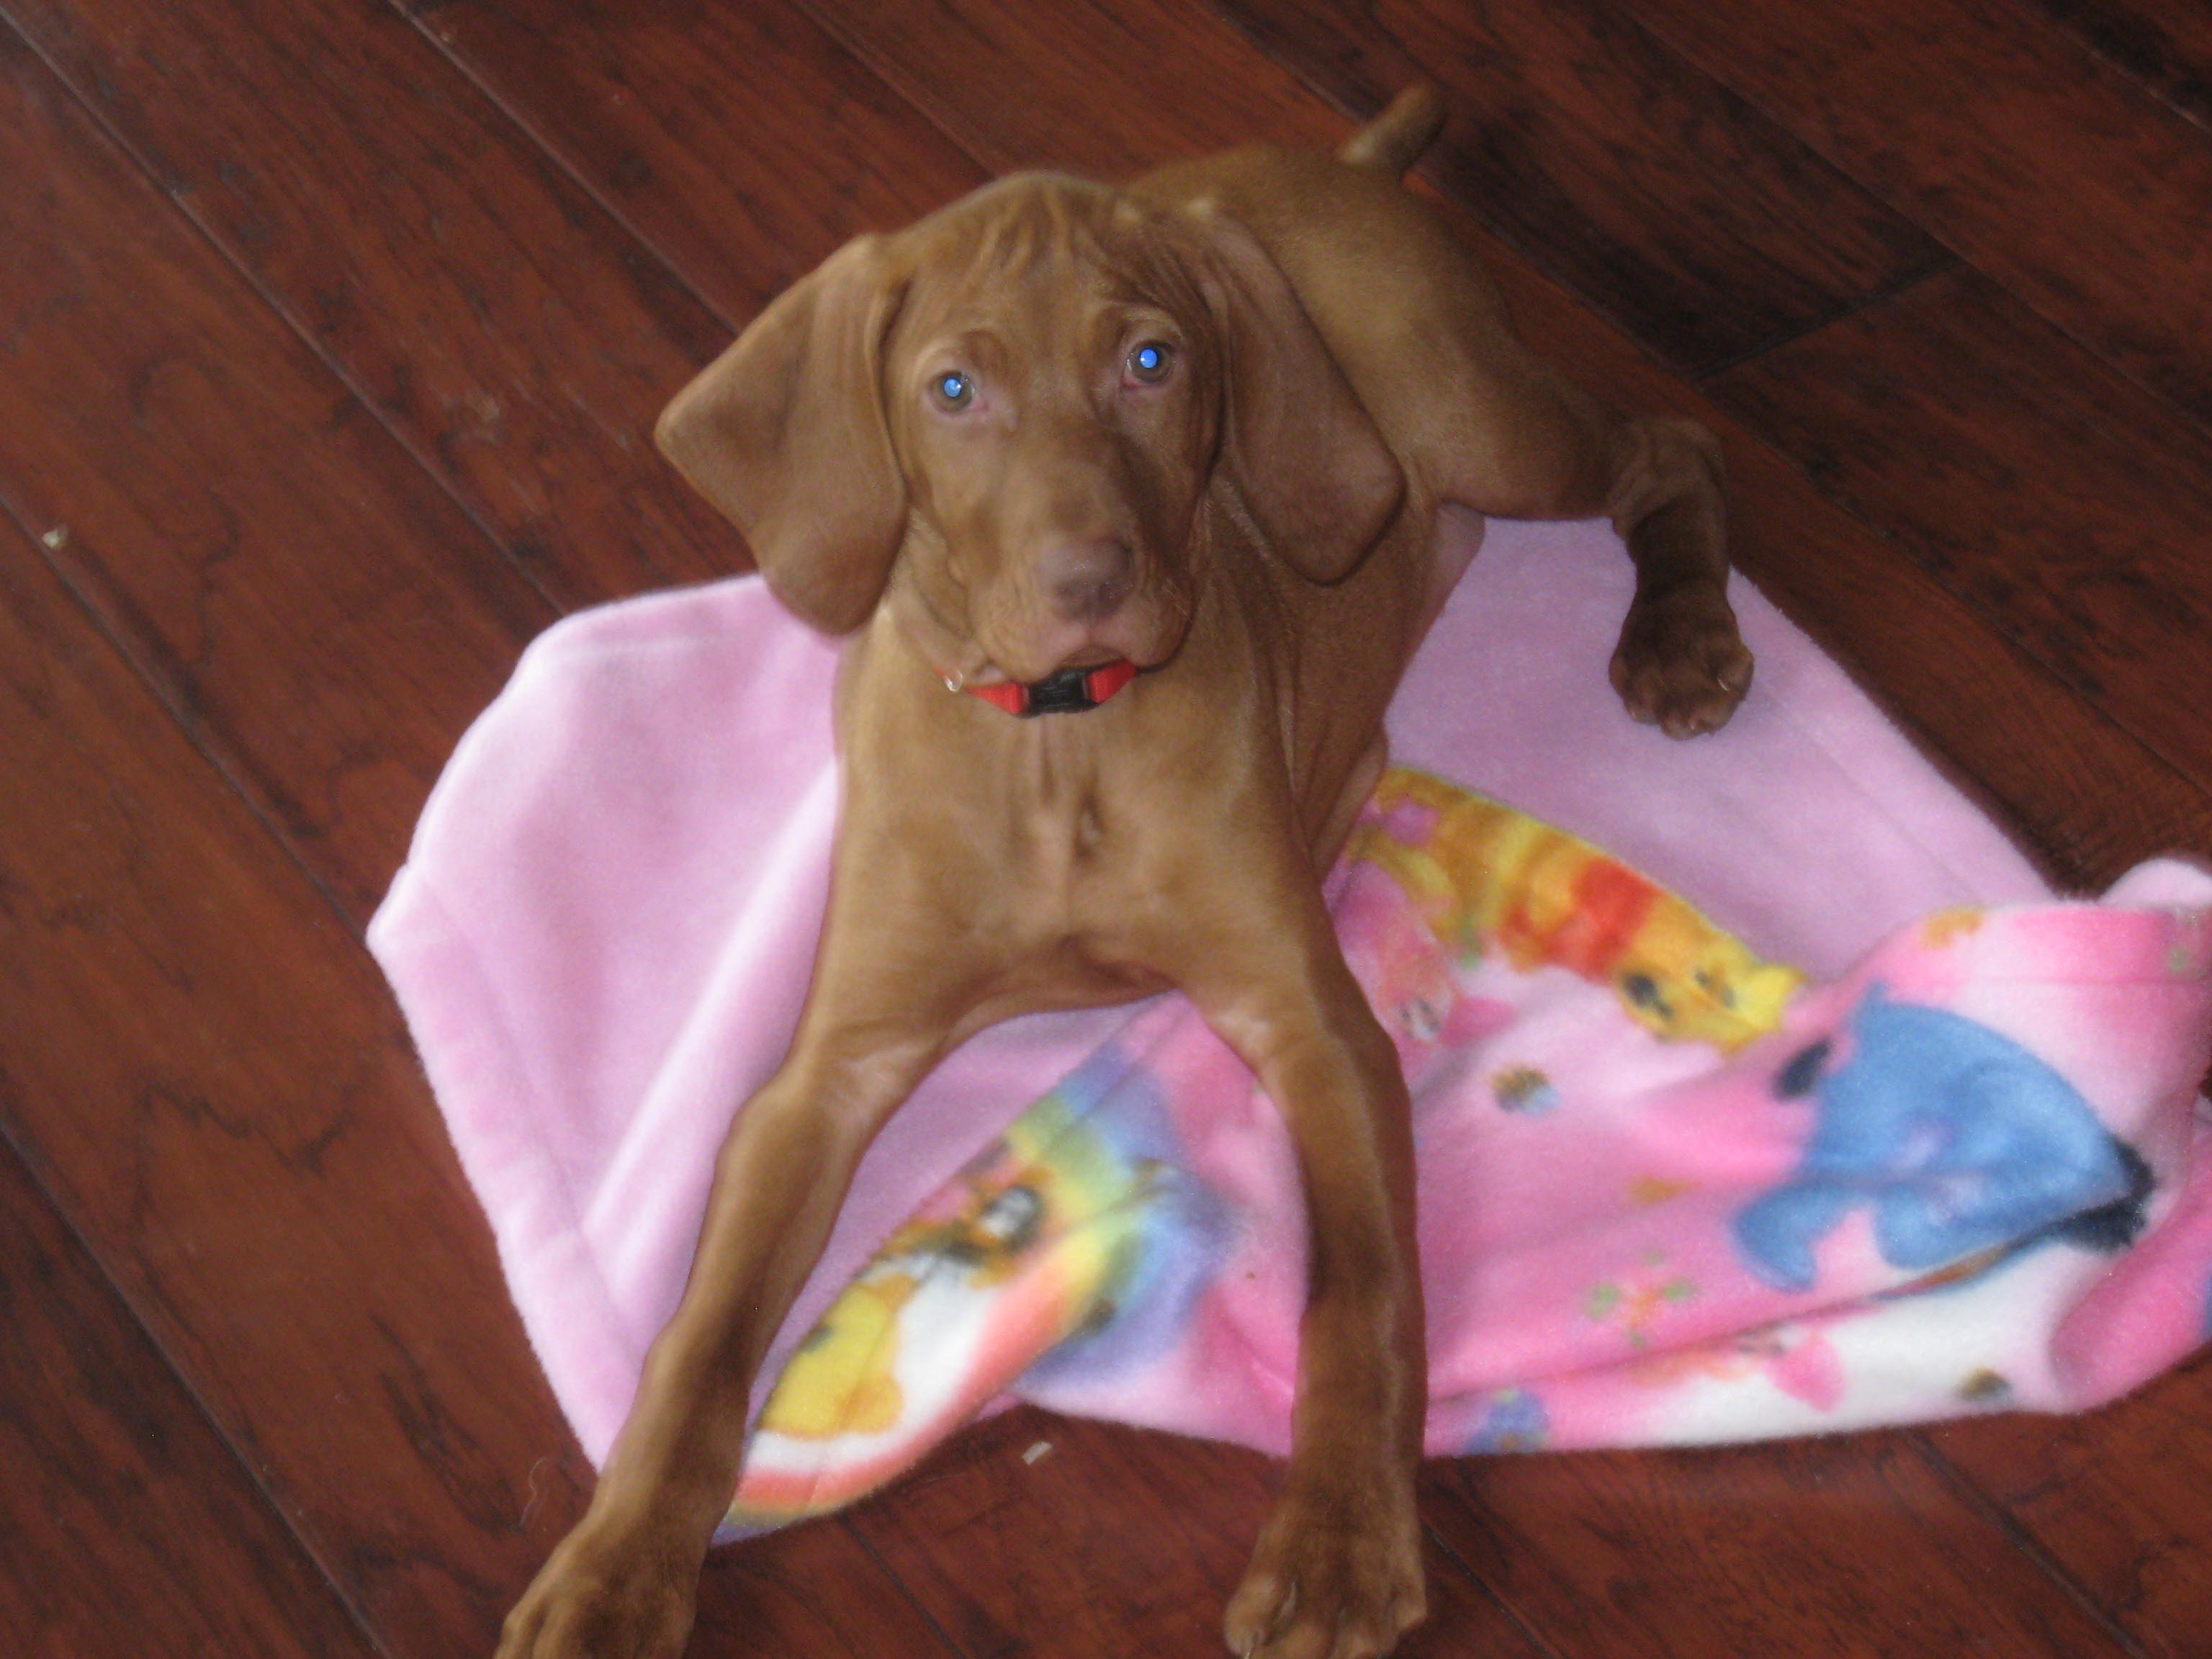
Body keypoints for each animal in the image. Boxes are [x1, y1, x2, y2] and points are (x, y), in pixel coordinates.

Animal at [496, 86, 1753, 1659]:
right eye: (952, 391)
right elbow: (702, 1344)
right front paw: (616, 1570)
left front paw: (1339, 1538)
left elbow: (1362, 1294)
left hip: (1474, 417)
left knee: (1668, 445)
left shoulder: (1314, 1025)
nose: (1090, 580)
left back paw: (1682, 636)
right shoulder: (826, 1076)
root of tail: (1331, 165)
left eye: (1152, 363)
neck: (1059, 737)